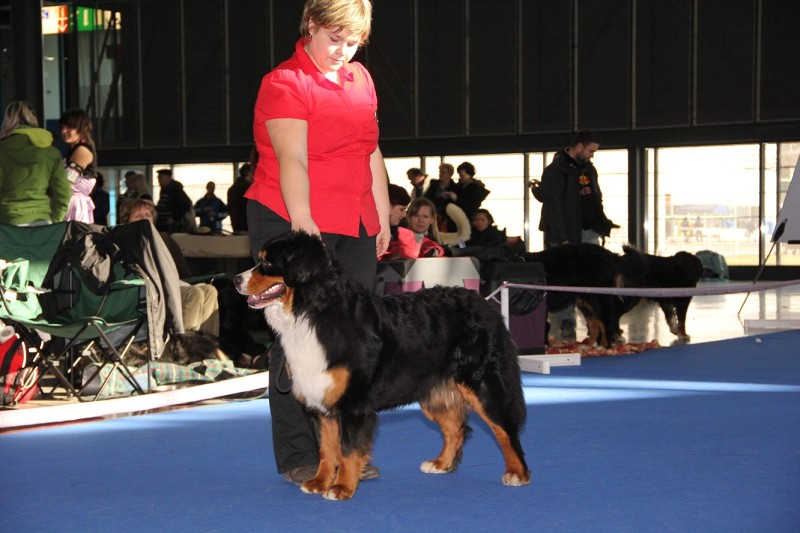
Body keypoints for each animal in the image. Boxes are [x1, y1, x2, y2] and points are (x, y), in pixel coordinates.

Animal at [233, 232, 532, 498]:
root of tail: (484, 304)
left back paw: (517, 473)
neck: (312, 313)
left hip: (483, 384)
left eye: (267, 263)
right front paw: (319, 482)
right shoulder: (320, 401)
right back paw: (440, 464)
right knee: (455, 428)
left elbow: (347, 449)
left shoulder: (352, 404)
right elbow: (327, 450)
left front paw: (341, 488)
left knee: (505, 429)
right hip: (432, 392)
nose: (236, 279)